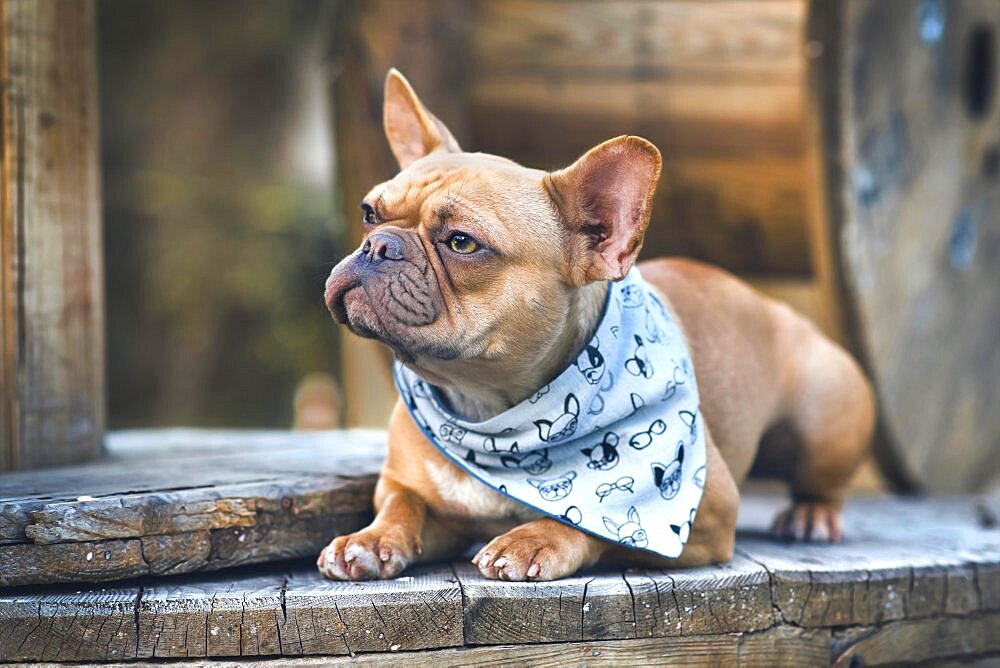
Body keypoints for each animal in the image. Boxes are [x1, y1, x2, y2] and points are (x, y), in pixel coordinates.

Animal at [316, 69, 872, 580]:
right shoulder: (410, 489)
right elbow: (401, 503)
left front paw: (532, 539)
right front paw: (370, 539)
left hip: (825, 413)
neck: (490, 413)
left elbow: (599, 522)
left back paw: (811, 515)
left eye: (461, 243)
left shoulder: (705, 514)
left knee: (822, 482)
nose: (378, 246)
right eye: (369, 213)